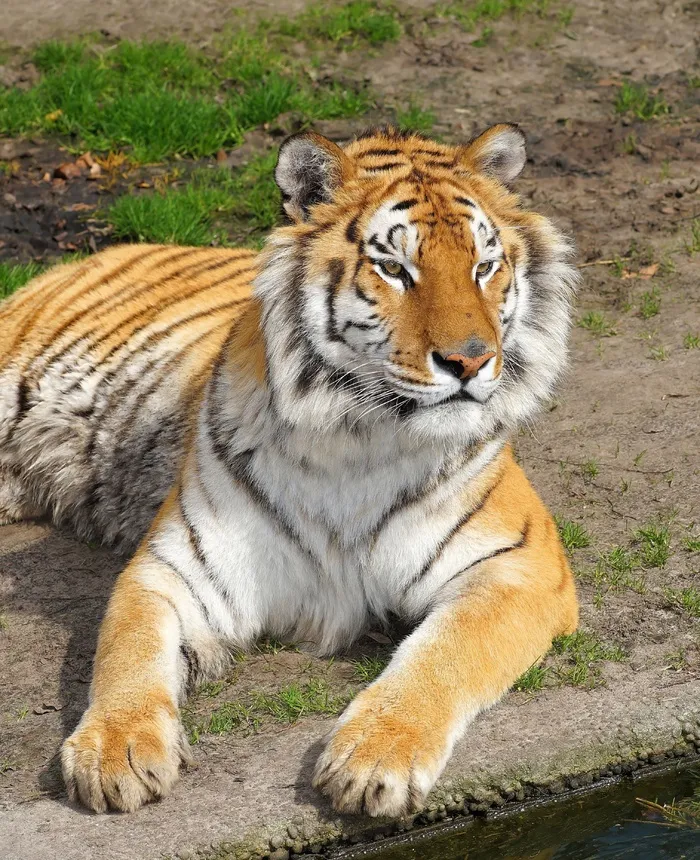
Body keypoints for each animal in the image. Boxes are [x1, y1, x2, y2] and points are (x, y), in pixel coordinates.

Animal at [0, 123, 579, 818]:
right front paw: (115, 751)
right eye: (395, 268)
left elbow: (446, 653)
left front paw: (375, 756)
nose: (470, 361)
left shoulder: (519, 566)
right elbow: (127, 655)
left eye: (484, 267)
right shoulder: (174, 568)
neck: (358, 438)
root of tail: (88, 255)